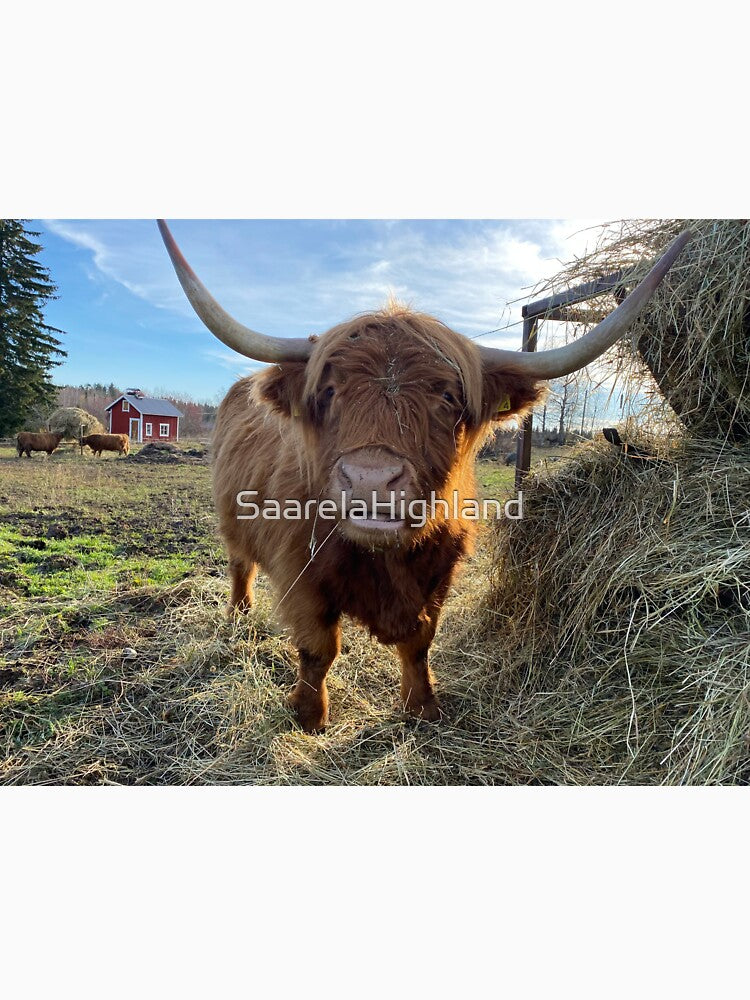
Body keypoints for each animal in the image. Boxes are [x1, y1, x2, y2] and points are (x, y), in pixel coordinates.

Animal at [159, 221, 692, 732]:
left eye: (447, 397)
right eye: (328, 392)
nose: (370, 480)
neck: (386, 560)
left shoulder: (440, 573)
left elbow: (419, 642)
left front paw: (422, 707)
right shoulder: (301, 575)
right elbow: (318, 650)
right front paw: (310, 717)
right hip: (233, 523)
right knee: (240, 565)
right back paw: (240, 616)